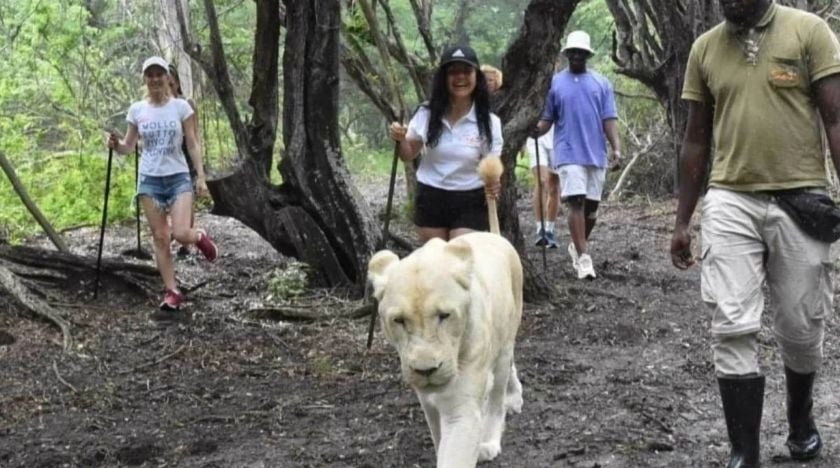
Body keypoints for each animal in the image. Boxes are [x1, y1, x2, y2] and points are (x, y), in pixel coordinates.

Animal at [370, 232, 520, 466]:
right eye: (399, 320)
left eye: (444, 315)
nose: (426, 370)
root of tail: (493, 234)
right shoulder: (426, 400)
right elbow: (438, 437)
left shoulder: (462, 407)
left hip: (506, 340)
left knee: (498, 393)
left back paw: (490, 439)